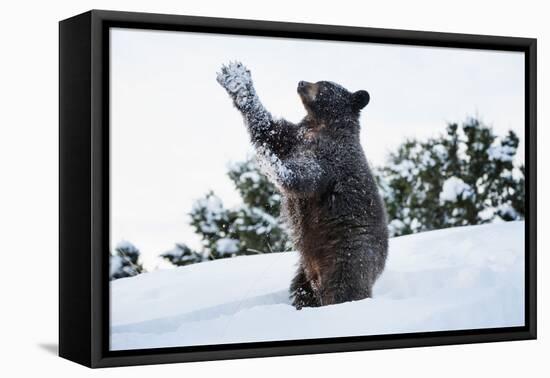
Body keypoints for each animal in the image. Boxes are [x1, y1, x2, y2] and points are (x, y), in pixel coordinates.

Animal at [218, 62, 390, 308]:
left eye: (324, 84)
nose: (301, 82)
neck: (320, 124)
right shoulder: (294, 137)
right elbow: (268, 128)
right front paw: (235, 78)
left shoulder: (330, 160)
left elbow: (302, 177)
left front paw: (269, 161)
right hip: (305, 268)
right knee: (303, 290)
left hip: (349, 253)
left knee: (343, 289)